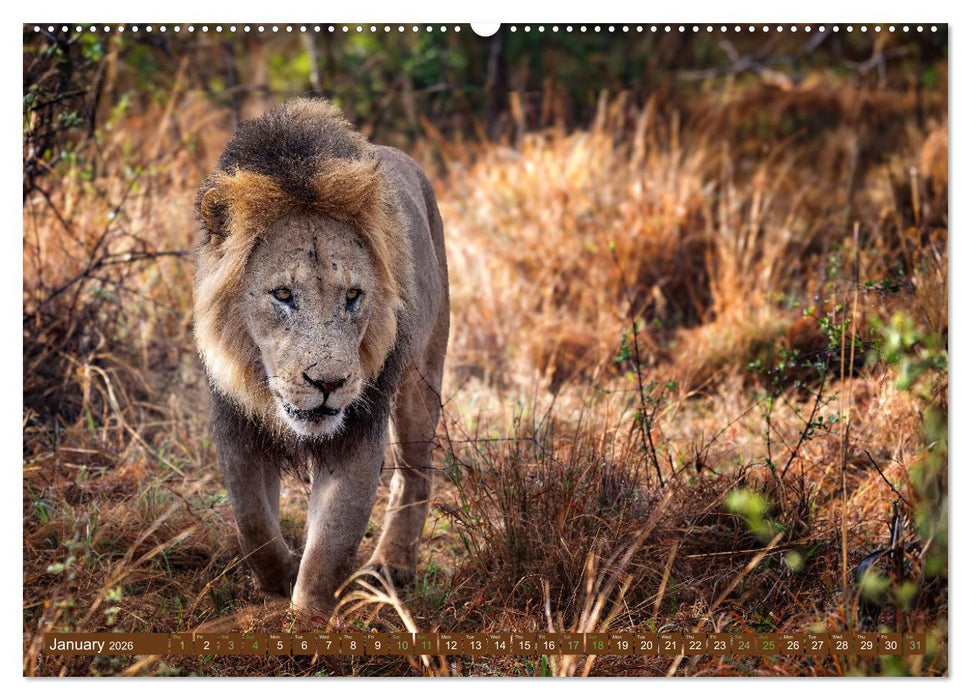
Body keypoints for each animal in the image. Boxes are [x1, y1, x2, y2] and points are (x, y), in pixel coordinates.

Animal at [193, 98, 449, 617]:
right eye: (283, 295)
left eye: (352, 296)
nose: (328, 384)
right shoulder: (234, 425)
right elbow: (252, 522)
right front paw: (279, 576)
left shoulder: (357, 431)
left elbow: (332, 541)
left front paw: (307, 617)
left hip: (422, 378)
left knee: (415, 474)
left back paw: (391, 566)